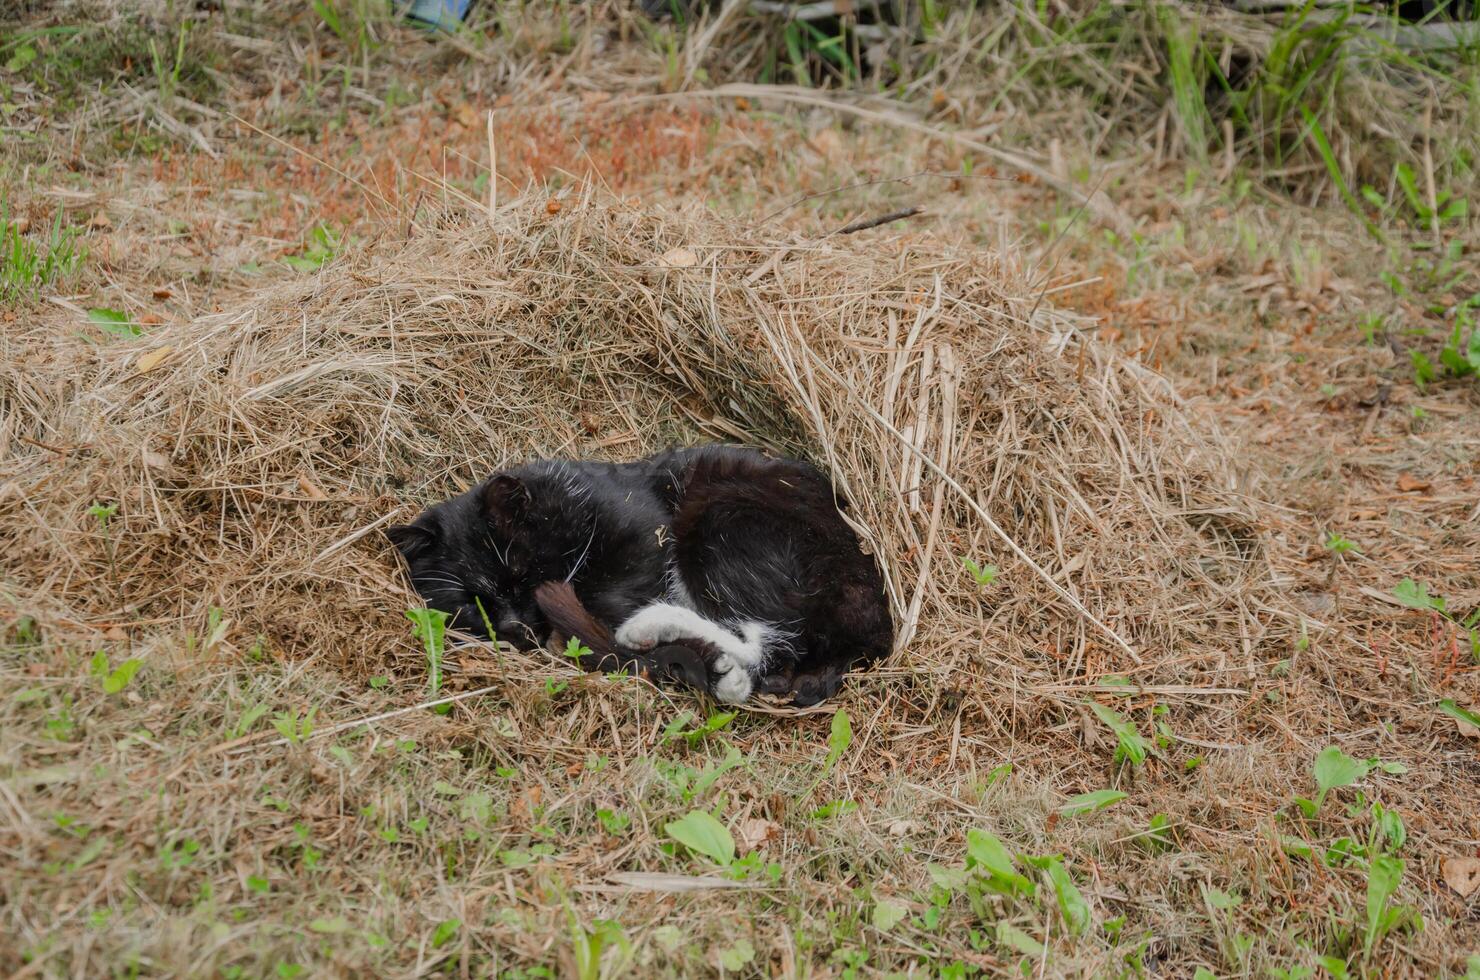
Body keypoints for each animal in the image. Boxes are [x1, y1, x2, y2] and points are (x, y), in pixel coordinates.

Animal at [384, 444, 888, 707]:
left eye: (522, 573)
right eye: (471, 603)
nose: (514, 626)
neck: (561, 511)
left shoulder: (643, 528)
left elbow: (617, 589)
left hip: (722, 516)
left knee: (765, 641)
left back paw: (656, 633)